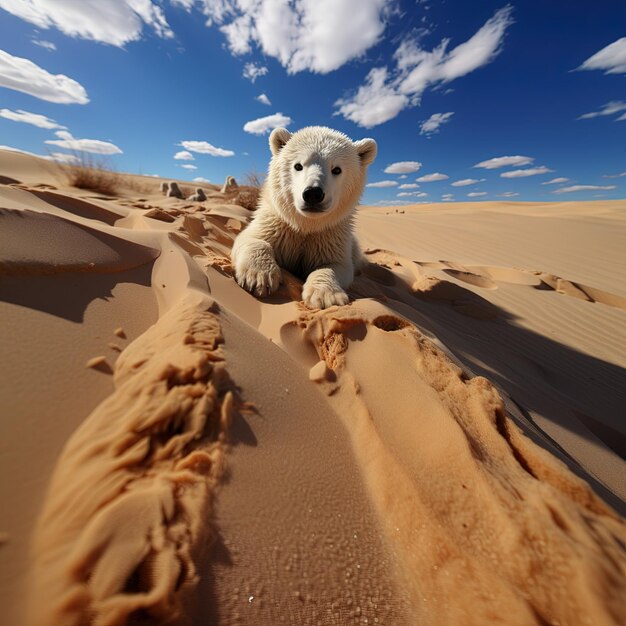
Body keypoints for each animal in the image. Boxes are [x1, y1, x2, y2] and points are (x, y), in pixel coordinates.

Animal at [230, 125, 372, 308]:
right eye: (298, 166)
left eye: (337, 169)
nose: (313, 193)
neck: (305, 224)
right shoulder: (276, 224)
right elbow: (252, 239)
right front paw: (259, 277)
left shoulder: (330, 237)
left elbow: (336, 265)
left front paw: (325, 296)